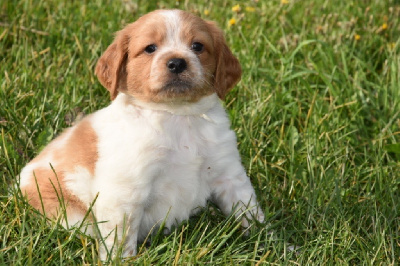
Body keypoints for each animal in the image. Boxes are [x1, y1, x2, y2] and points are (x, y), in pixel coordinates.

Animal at [18, 9, 264, 258]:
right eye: (150, 48)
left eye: (197, 46)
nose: (177, 62)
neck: (177, 115)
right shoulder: (125, 192)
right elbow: (120, 239)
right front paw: (122, 260)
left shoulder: (228, 172)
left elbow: (249, 209)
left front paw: (265, 243)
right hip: (71, 215)